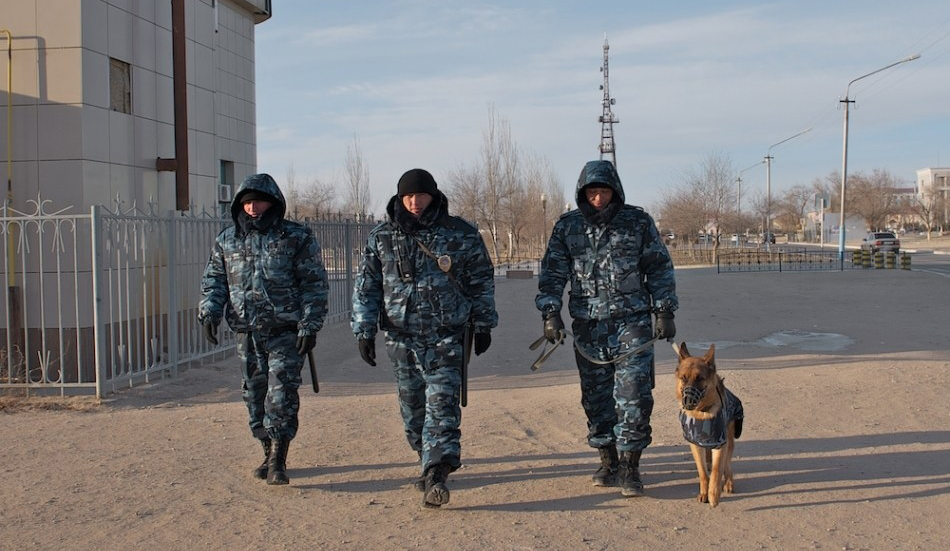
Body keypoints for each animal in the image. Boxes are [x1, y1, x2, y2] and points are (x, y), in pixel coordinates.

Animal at [672, 342, 748, 506]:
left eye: (700, 378)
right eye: (683, 378)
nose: (687, 402)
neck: (701, 413)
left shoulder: (720, 443)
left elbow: (716, 470)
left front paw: (713, 494)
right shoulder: (695, 444)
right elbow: (703, 472)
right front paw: (704, 492)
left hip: (729, 441)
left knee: (726, 464)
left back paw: (728, 482)